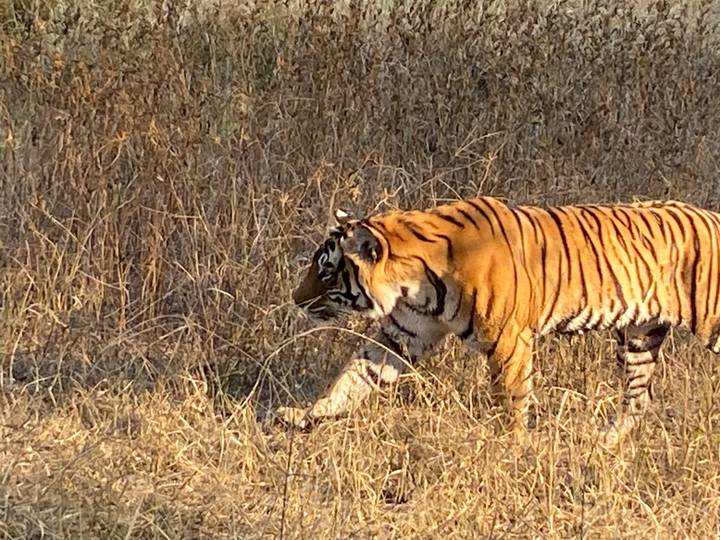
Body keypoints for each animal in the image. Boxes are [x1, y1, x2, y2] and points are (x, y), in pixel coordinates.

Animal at [279, 196, 720, 446]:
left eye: (327, 271)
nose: (295, 299)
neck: (413, 283)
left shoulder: (509, 340)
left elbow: (510, 399)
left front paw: (511, 448)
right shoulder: (402, 335)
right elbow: (353, 377)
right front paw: (306, 416)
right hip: (639, 337)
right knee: (639, 397)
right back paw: (607, 442)